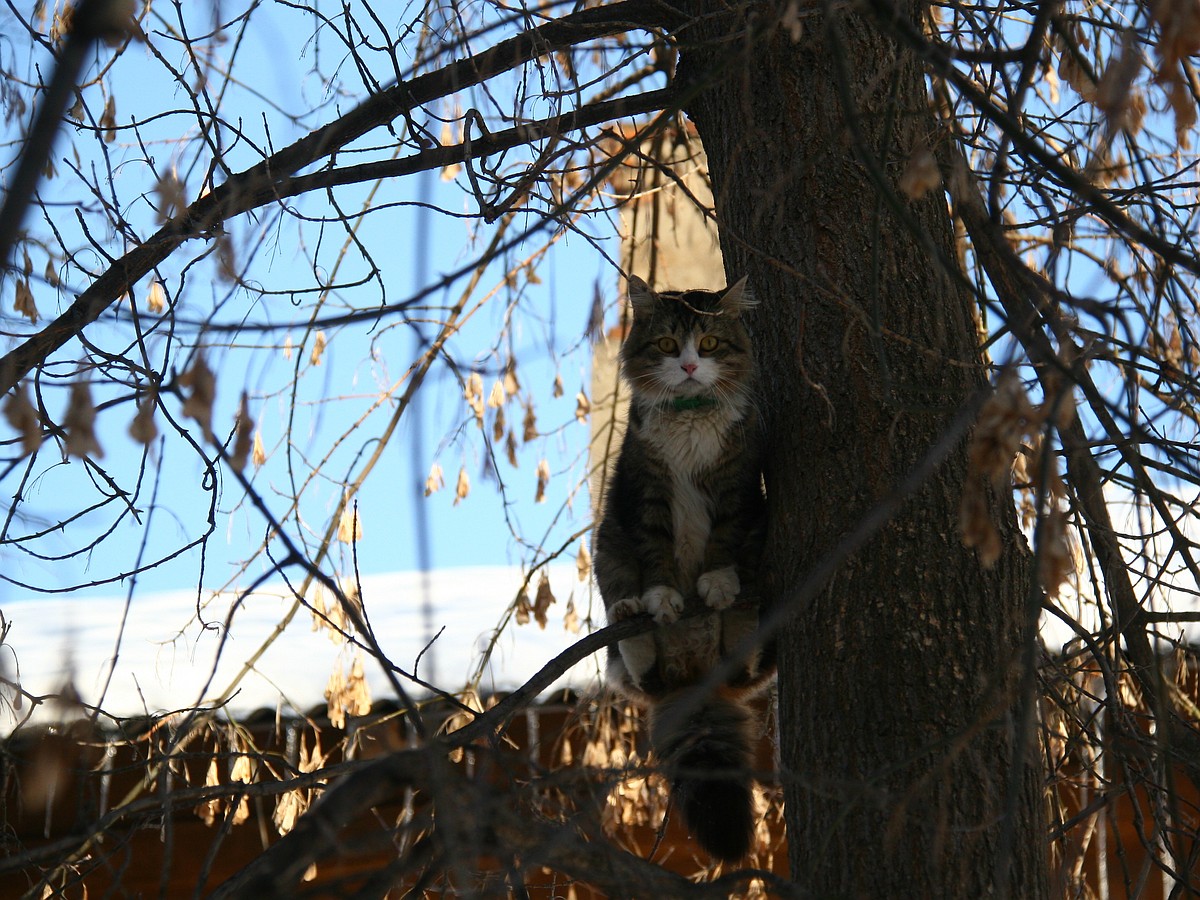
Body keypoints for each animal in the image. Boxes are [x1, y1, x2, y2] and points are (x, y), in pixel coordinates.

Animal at [595, 274, 772, 868]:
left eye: (710, 344)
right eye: (670, 345)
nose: (691, 366)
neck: (691, 412)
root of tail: (695, 679)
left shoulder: (738, 487)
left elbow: (722, 542)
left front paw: (715, 582)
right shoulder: (646, 491)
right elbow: (658, 556)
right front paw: (663, 597)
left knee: (745, 662)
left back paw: (738, 609)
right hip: (608, 549)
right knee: (639, 671)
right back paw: (634, 617)